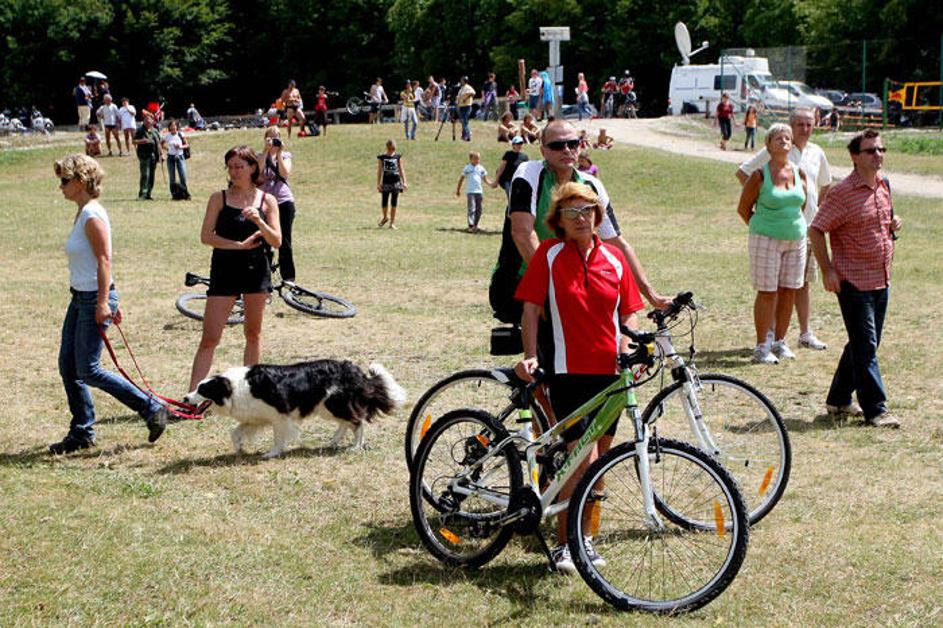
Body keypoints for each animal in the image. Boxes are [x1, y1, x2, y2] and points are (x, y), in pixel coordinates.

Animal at [184, 360, 406, 458]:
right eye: (197, 387)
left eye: (202, 389)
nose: (185, 397)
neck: (233, 386)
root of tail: (354, 371)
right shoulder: (255, 417)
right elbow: (235, 432)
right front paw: (239, 448)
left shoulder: (279, 416)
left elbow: (278, 438)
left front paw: (273, 453)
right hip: (326, 407)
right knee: (347, 422)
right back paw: (334, 441)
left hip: (333, 404)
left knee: (357, 422)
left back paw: (355, 447)